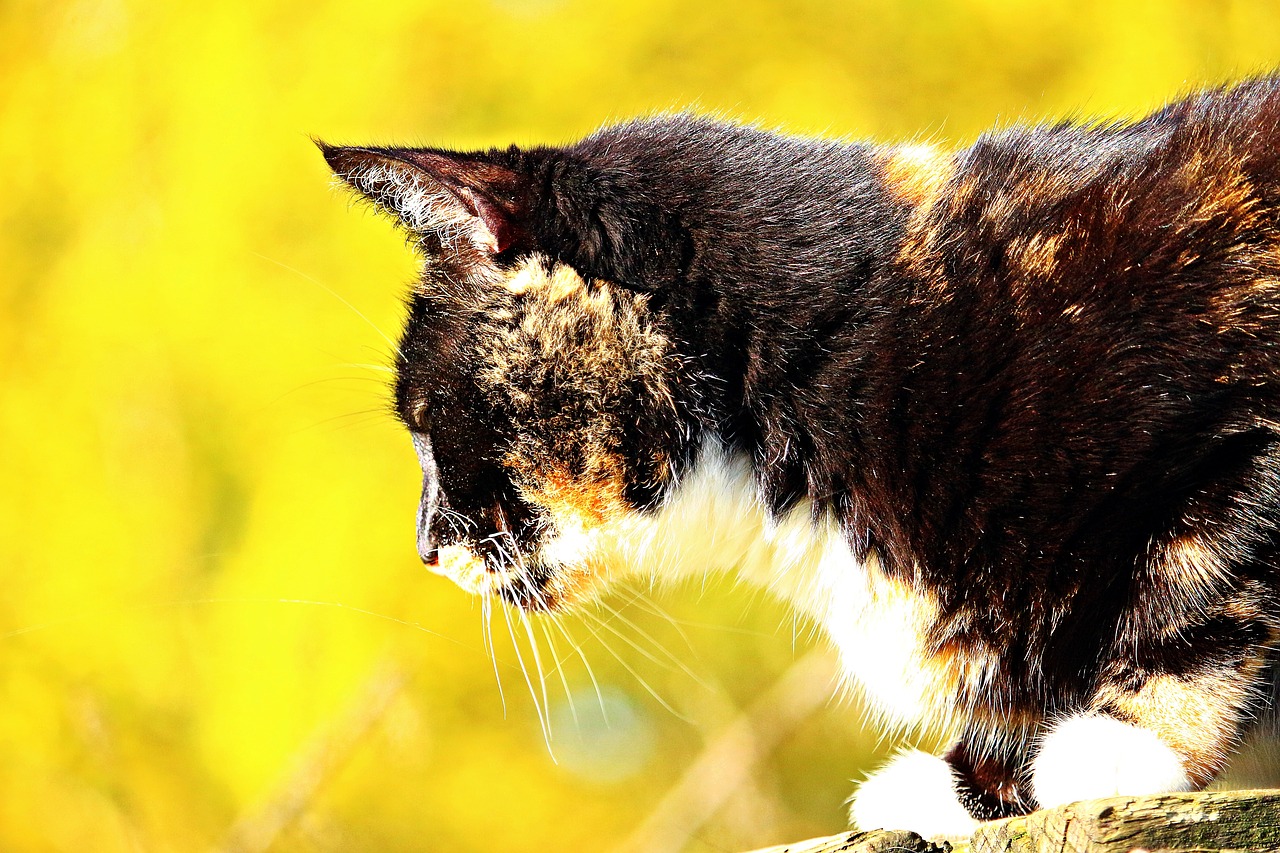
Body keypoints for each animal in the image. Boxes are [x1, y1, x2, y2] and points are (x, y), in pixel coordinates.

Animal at [325, 74, 1280, 835]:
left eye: (427, 419)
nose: (425, 543)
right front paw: (970, 784)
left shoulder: (1244, 428)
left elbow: (1203, 571)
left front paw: (1129, 741)